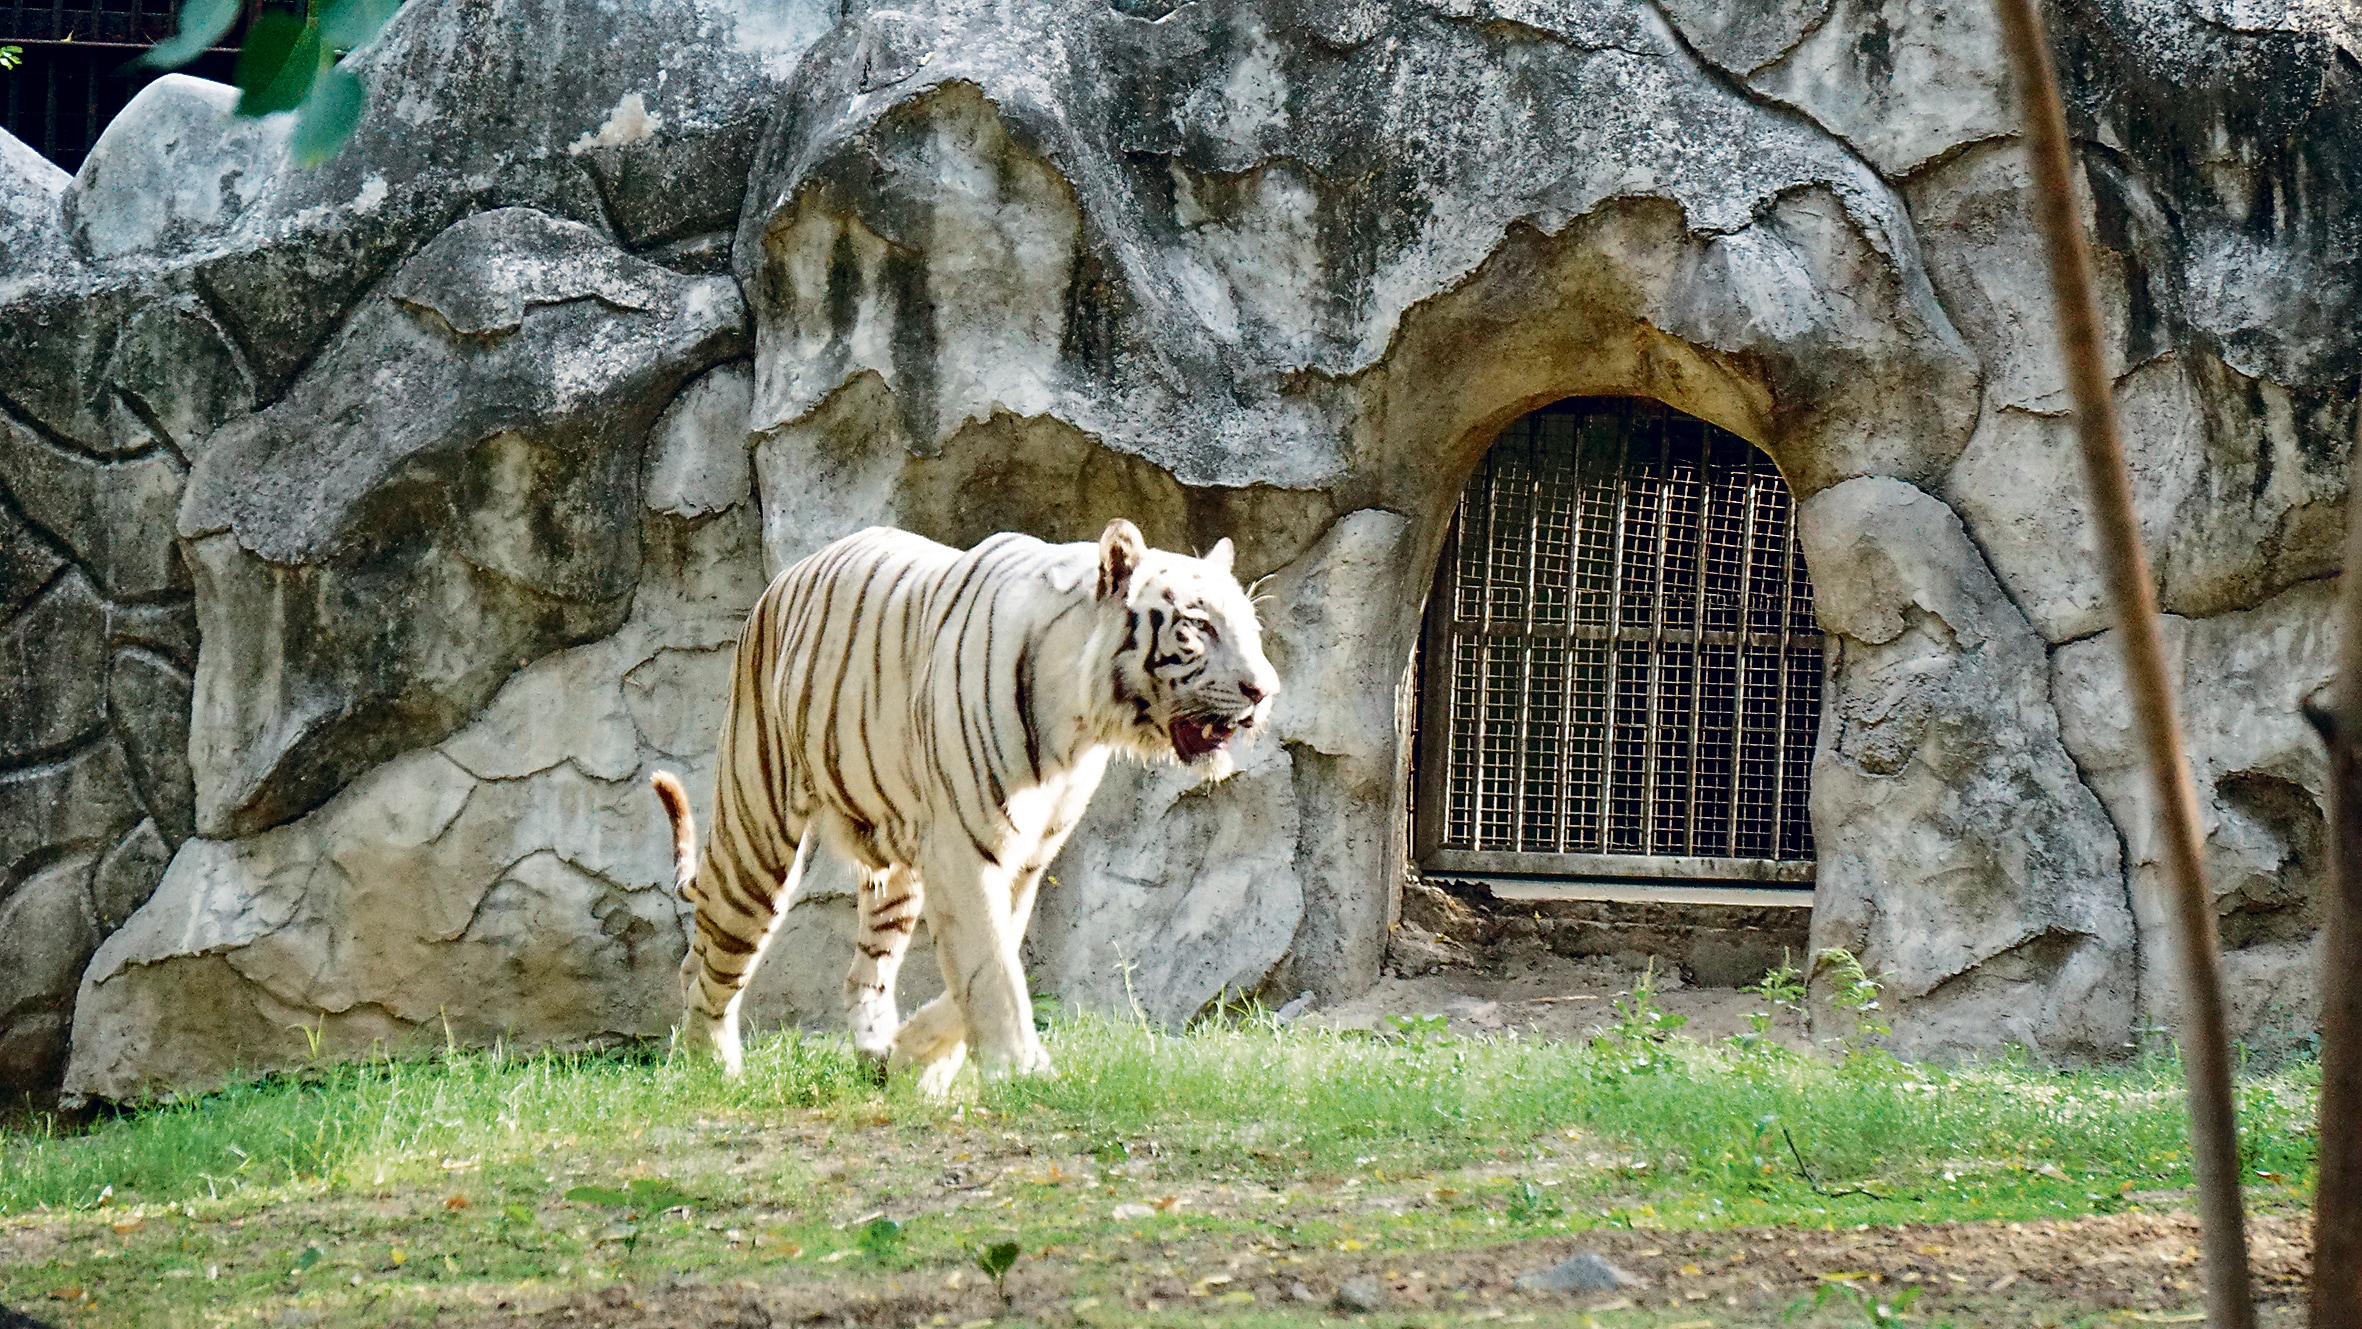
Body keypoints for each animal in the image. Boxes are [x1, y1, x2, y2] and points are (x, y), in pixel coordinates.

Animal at [648, 518, 1280, 1095]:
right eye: (1199, 627)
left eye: (1250, 628)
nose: (1265, 690)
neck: (1079, 724)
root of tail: (783, 579)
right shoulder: (963, 847)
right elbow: (991, 968)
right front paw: (1019, 1070)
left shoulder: (1023, 859)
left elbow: (983, 967)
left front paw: (915, 1060)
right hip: (757, 829)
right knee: (718, 957)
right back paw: (711, 1068)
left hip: (894, 874)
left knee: (857, 972)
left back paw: (874, 1053)